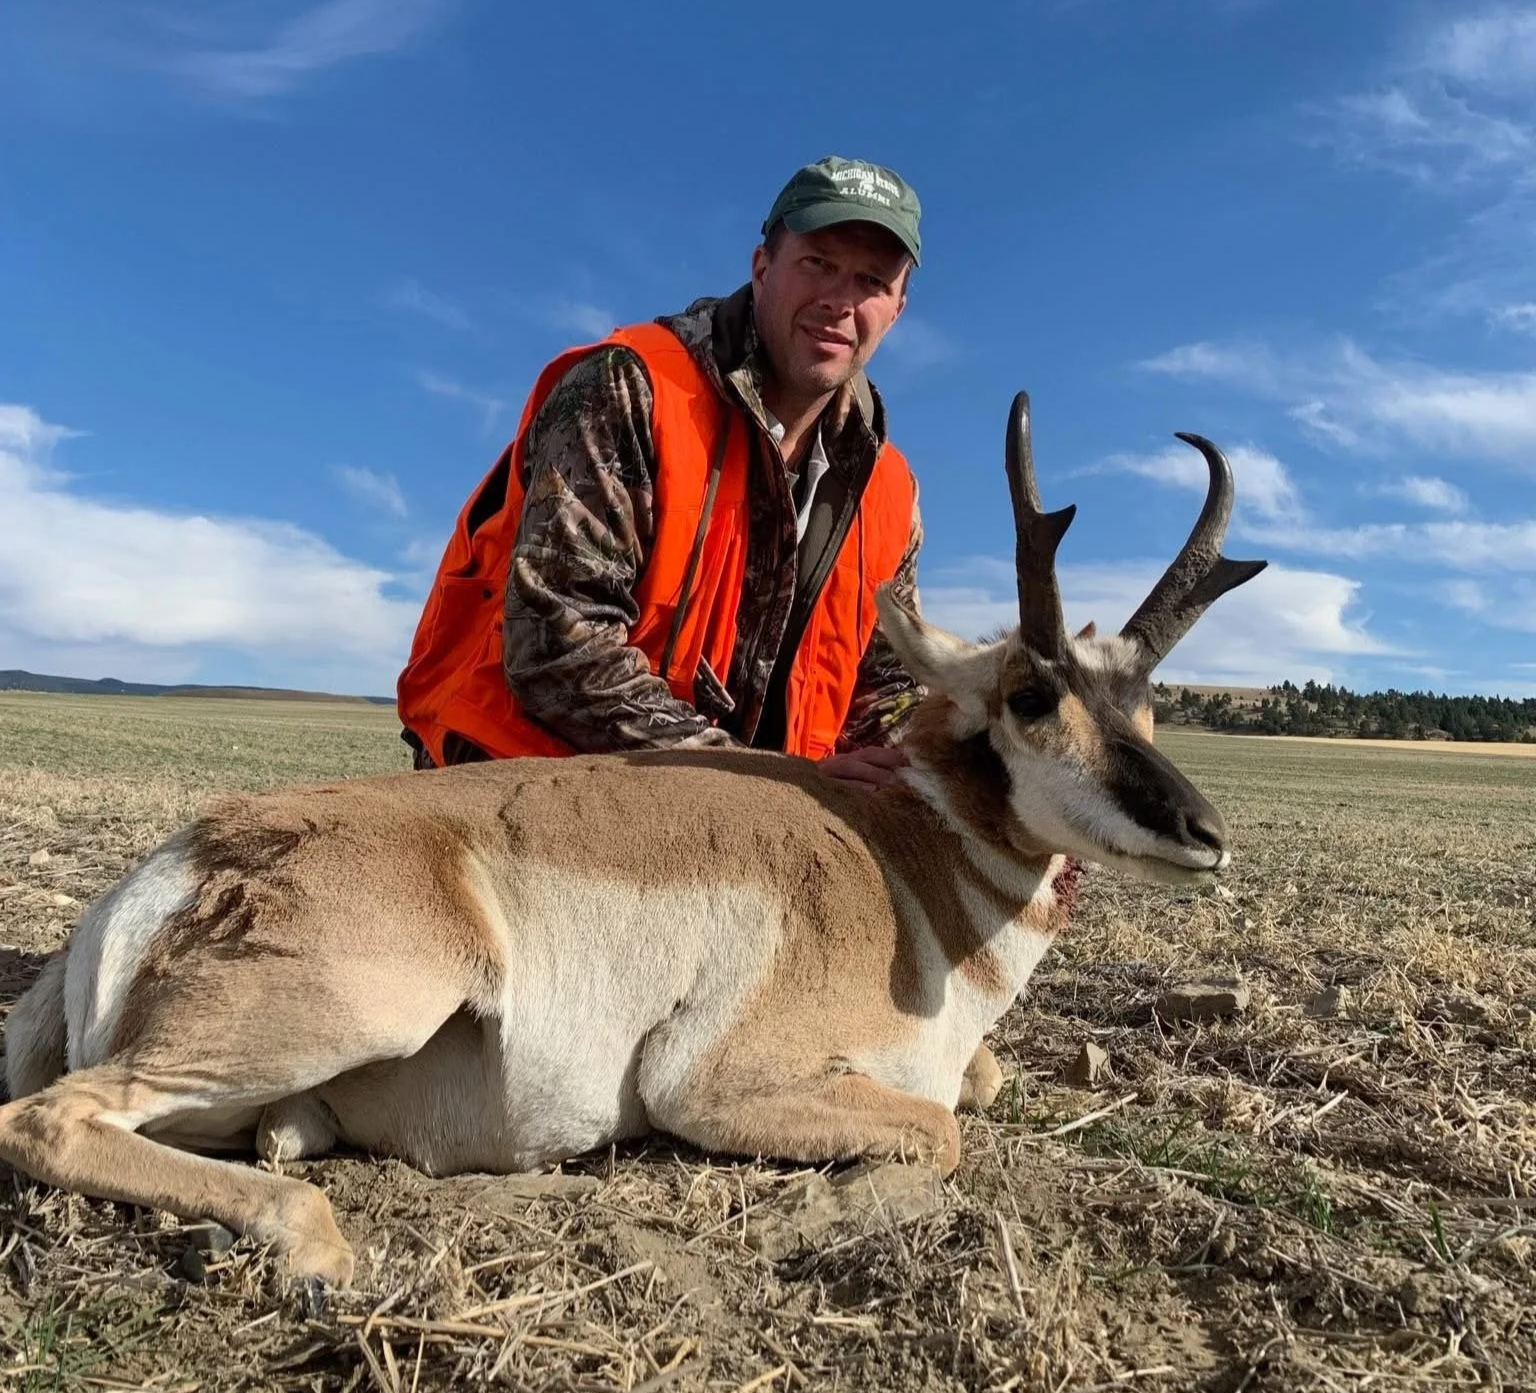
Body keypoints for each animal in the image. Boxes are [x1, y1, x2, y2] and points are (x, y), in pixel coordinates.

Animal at [0, 393, 1266, 1287]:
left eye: (1147, 705)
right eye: (1031, 695)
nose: (1205, 834)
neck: (906, 859)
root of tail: (173, 863)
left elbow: (979, 1085)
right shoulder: (708, 1082)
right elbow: (941, 1128)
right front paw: (827, 1210)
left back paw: (292, 1149)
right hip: (364, 1000)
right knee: (46, 1118)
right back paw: (314, 1250)